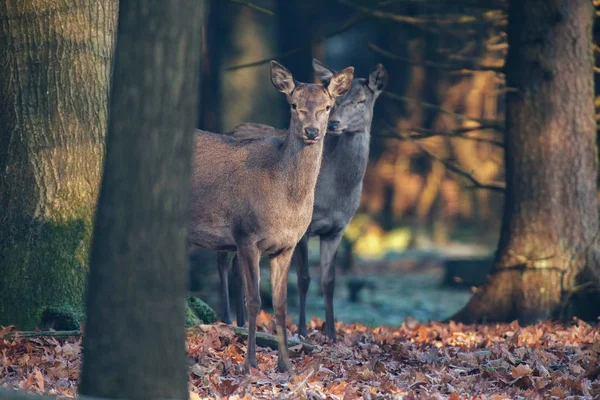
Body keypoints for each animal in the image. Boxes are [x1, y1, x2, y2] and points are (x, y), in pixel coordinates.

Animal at [190, 60, 354, 372]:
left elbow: (280, 305)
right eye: (293, 104)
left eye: (327, 106)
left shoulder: (286, 245)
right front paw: (250, 363)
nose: (312, 131)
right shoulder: (245, 234)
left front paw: (285, 365)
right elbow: (254, 301)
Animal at [220, 58, 390, 340]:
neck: (336, 195)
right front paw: (301, 330)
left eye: (361, 101)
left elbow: (329, 281)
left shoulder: (338, 229)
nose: (334, 125)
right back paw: (226, 318)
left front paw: (331, 333)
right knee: (223, 262)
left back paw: (241, 322)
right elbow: (304, 278)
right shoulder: (304, 227)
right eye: (338, 102)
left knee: (236, 266)